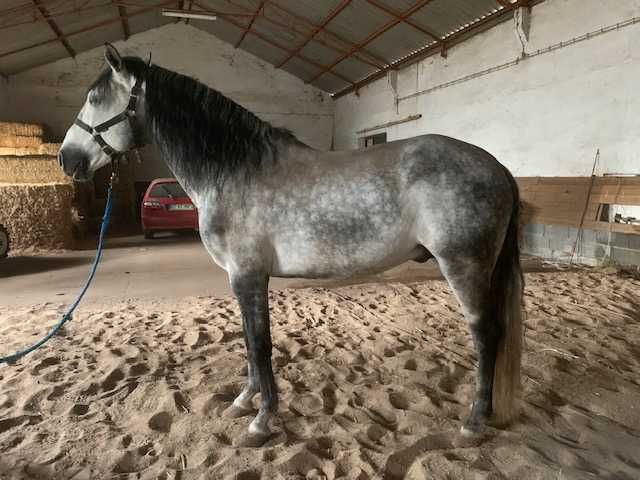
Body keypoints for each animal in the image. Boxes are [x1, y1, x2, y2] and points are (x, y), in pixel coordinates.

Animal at [59, 44, 523, 447]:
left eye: (96, 98)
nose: (67, 159)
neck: (234, 170)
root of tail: (498, 167)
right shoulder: (240, 278)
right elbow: (249, 341)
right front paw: (243, 403)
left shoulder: (249, 275)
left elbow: (260, 344)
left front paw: (262, 421)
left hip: (464, 266)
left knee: (487, 334)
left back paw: (473, 423)